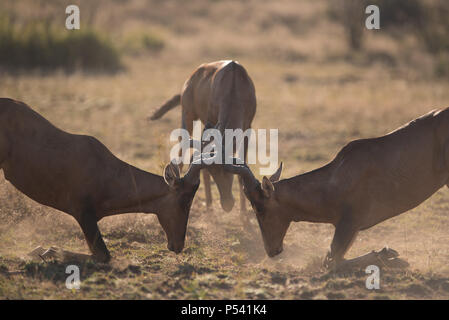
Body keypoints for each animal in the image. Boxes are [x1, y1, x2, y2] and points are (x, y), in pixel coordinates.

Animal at [0, 98, 212, 262]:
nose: (178, 245)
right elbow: (103, 256)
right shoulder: (82, 214)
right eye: (184, 200)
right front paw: (45, 251)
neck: (104, 168)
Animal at [149, 60, 256, 215]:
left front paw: (244, 218)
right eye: (213, 171)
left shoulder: (247, 127)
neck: (233, 83)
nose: (227, 204)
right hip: (188, 116)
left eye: (228, 169)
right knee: (181, 158)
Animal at [226, 109, 448, 268]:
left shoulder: (350, 224)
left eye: (259, 207)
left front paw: (392, 255)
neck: (337, 177)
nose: (272, 251)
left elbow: (331, 262)